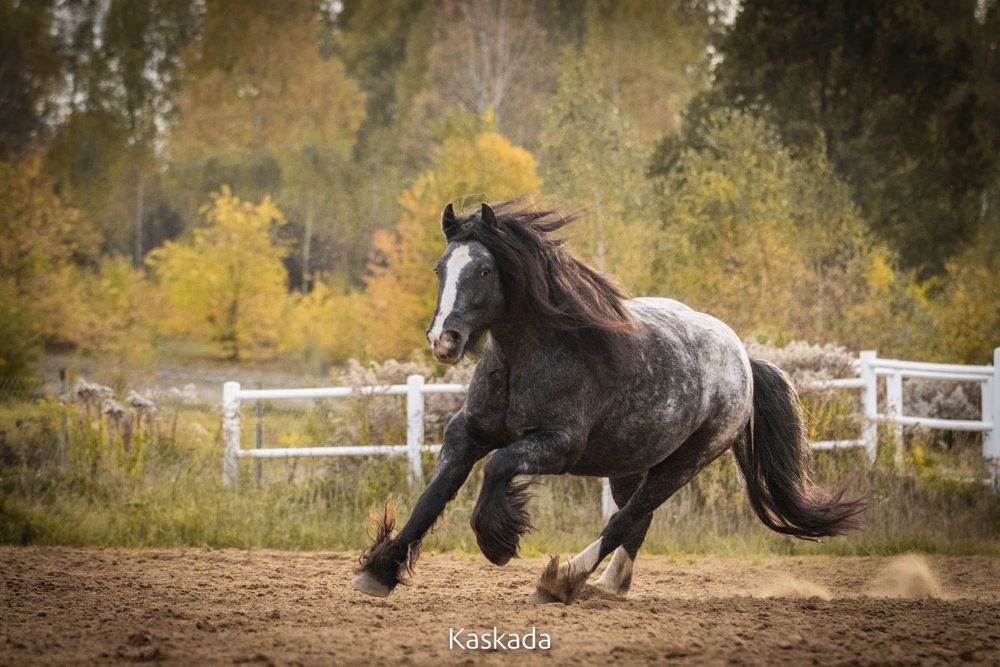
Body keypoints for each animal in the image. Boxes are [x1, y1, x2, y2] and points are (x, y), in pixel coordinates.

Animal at [348, 198, 864, 604]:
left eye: (484, 269)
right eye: (441, 269)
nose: (444, 340)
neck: (530, 356)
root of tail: (743, 361)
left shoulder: (557, 445)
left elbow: (497, 467)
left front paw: (496, 541)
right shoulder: (468, 432)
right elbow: (432, 496)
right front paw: (378, 571)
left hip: (685, 463)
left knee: (626, 518)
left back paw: (562, 581)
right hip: (629, 464)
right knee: (635, 520)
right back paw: (609, 585)